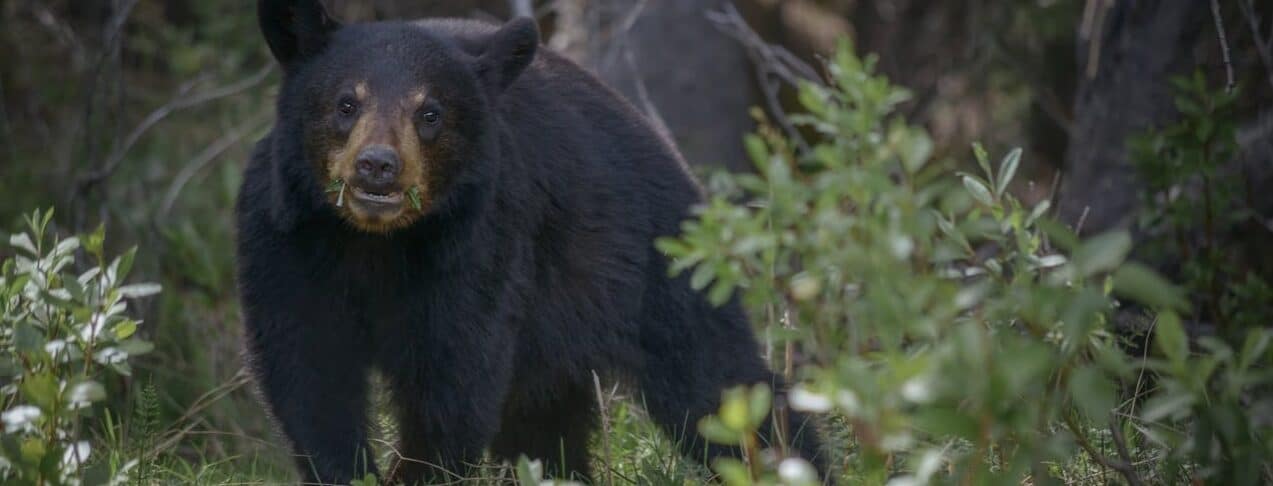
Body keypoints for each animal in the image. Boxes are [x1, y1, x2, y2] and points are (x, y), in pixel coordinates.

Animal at [234, 0, 819, 483]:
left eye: (430, 112)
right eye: (345, 103)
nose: (378, 166)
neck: (375, 242)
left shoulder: (478, 249)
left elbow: (454, 380)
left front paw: (418, 472)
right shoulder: (284, 243)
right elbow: (309, 372)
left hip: (651, 265)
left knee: (716, 381)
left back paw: (793, 461)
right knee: (544, 425)